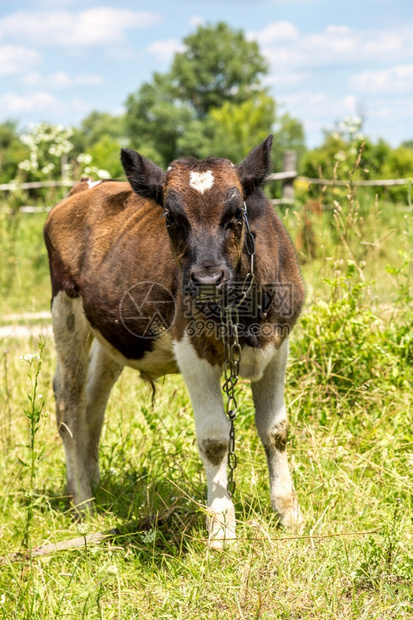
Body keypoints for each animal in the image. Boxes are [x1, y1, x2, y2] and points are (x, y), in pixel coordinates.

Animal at [44, 136, 302, 548]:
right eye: (169, 217)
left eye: (236, 213)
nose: (207, 279)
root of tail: (84, 187)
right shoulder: (191, 348)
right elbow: (215, 438)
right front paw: (221, 527)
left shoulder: (278, 344)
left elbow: (275, 430)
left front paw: (288, 513)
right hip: (65, 313)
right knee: (68, 402)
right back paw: (82, 501)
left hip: (110, 335)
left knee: (94, 402)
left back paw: (92, 481)